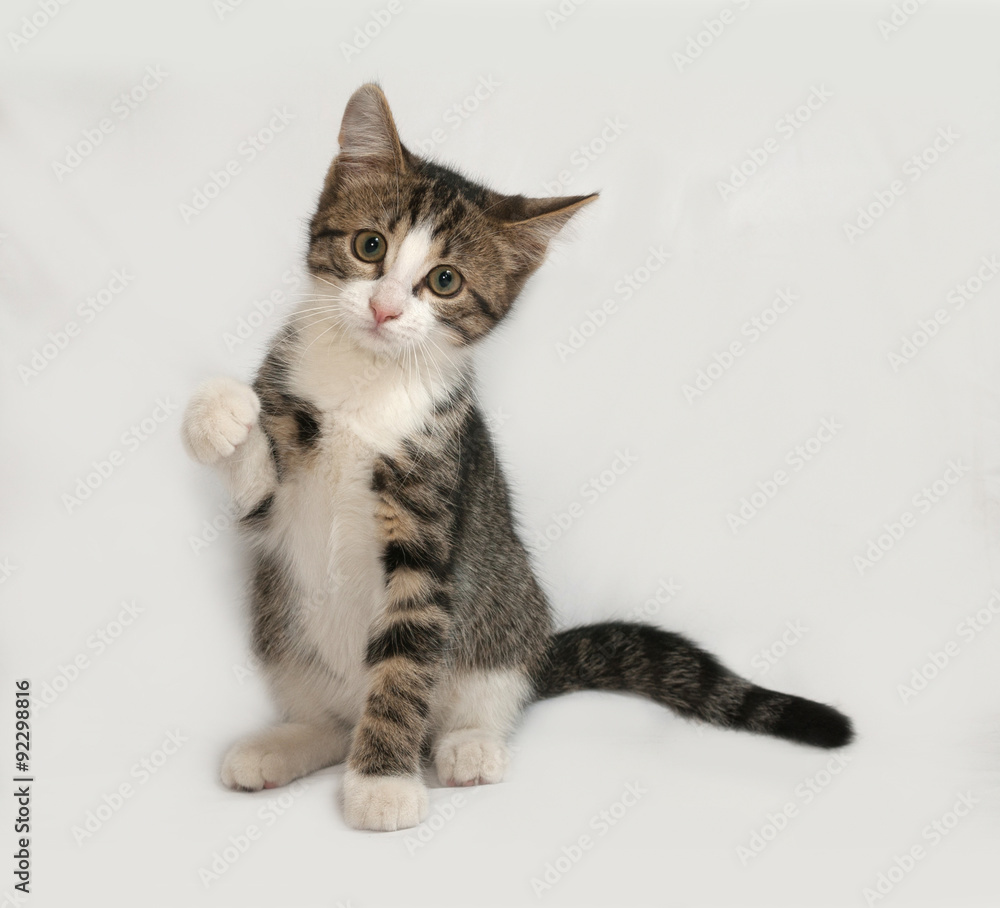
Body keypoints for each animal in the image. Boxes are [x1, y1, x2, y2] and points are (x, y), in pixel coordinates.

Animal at [182, 83, 852, 828]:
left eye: (444, 281)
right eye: (368, 245)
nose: (385, 309)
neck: (368, 380)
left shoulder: (434, 524)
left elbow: (406, 660)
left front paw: (382, 783)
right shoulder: (281, 492)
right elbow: (255, 488)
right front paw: (218, 414)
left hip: (503, 615)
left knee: (481, 695)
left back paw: (467, 746)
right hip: (285, 636)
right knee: (332, 721)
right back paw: (285, 745)